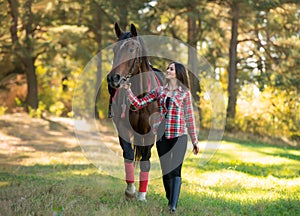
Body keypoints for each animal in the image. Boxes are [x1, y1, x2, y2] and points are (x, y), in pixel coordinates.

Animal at [107, 22, 164, 201]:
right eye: (114, 50)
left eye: (131, 49)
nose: (113, 79)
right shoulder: (122, 129)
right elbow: (128, 155)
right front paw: (130, 191)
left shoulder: (150, 132)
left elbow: (145, 160)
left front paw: (141, 195)